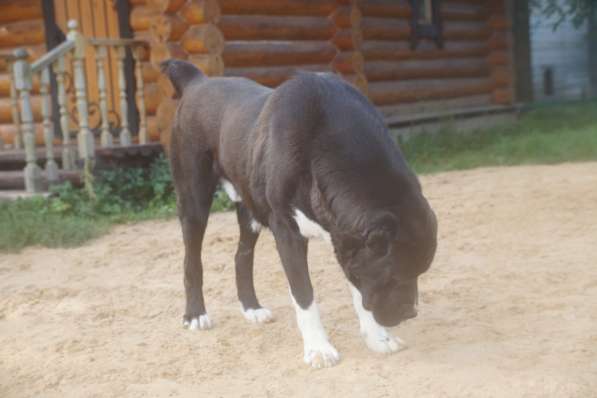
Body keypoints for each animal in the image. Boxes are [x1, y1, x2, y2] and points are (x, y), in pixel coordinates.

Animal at [161, 60, 436, 368]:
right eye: (394, 276)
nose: (410, 313)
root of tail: (197, 80)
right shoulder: (288, 232)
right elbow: (304, 293)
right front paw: (319, 348)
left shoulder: (343, 238)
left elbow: (358, 287)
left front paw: (378, 338)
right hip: (193, 201)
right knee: (192, 261)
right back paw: (196, 314)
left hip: (249, 210)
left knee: (242, 257)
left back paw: (252, 308)